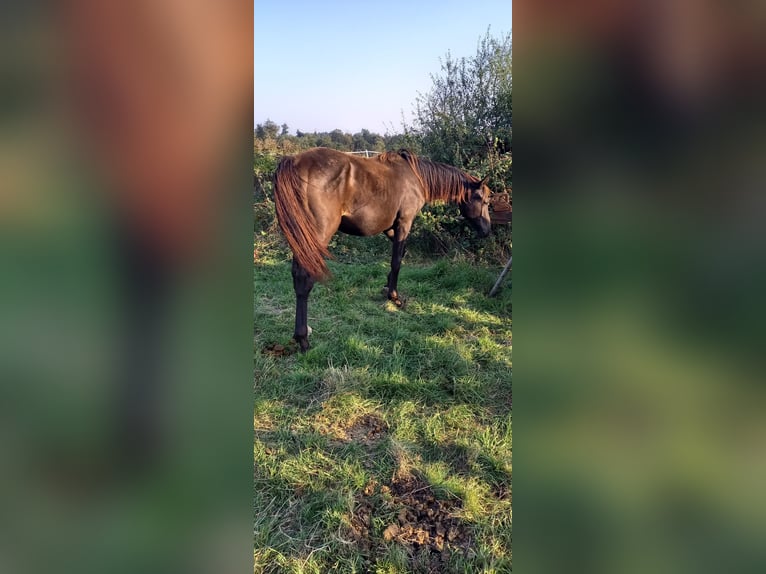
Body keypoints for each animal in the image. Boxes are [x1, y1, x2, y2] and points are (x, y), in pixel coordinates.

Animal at [272, 147, 496, 352]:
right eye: (484, 200)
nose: (487, 230)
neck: (416, 177)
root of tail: (293, 161)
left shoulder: (390, 228)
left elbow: (400, 254)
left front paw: (387, 286)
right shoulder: (404, 223)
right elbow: (396, 261)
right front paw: (395, 297)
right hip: (316, 236)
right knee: (304, 278)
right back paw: (303, 338)